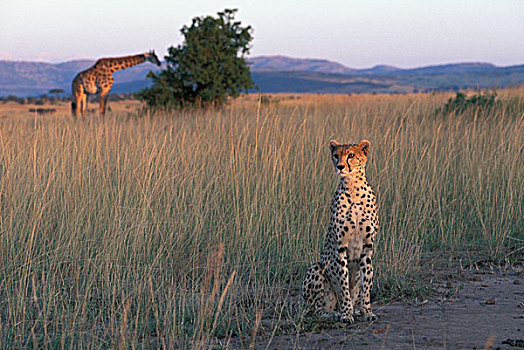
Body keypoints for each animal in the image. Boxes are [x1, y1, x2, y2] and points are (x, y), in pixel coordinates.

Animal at [300, 139, 378, 322]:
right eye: (336, 155)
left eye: (351, 155)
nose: (340, 166)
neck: (353, 189)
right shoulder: (340, 248)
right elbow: (344, 284)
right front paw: (347, 314)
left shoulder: (367, 248)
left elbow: (366, 284)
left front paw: (366, 311)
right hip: (316, 268)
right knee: (316, 310)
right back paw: (334, 313)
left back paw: (355, 310)